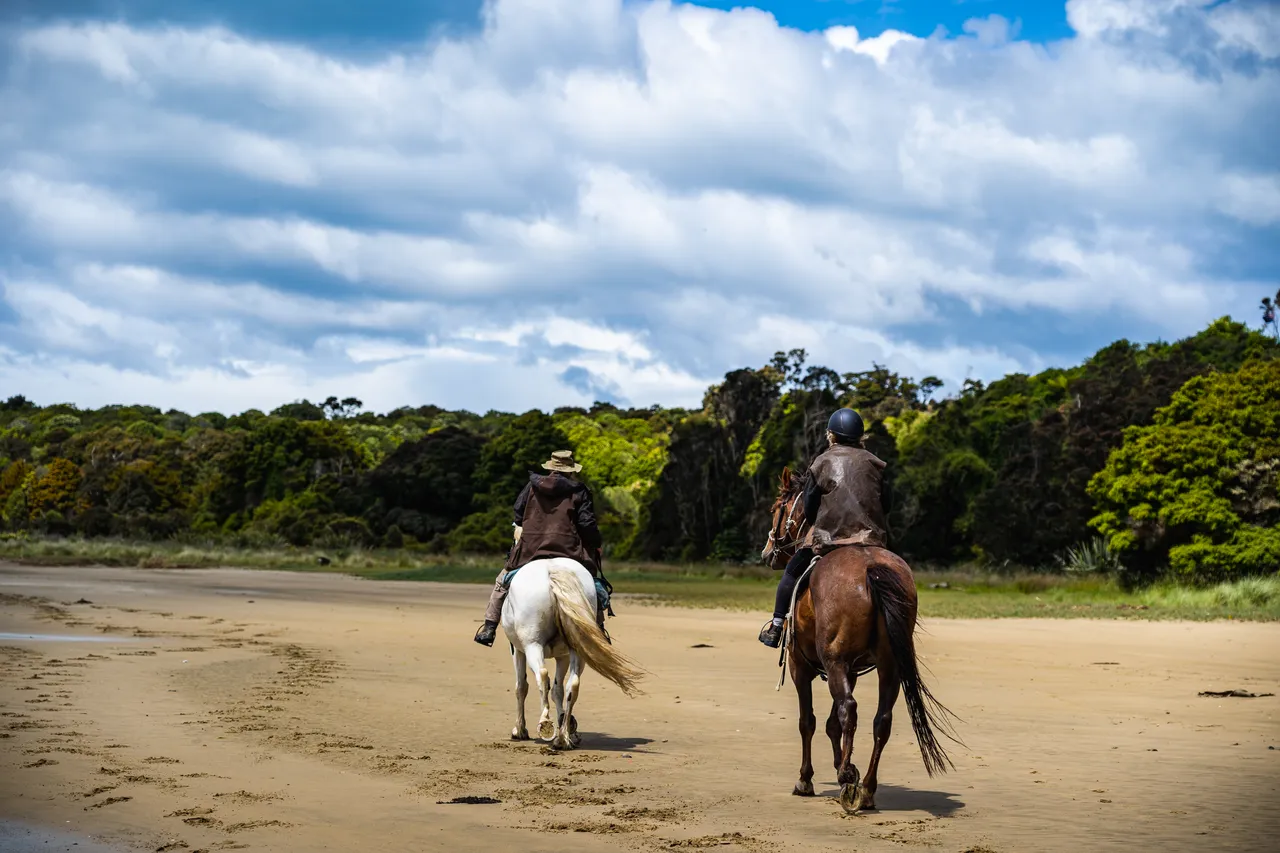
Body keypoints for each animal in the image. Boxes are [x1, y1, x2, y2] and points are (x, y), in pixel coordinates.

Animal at [501, 557, 644, 749]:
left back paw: (546, 724)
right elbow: (558, 690)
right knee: (573, 685)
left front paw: (519, 729)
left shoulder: (517, 651)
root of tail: (552, 569)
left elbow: (521, 687)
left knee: (542, 675)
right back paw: (562, 737)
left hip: (532, 644)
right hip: (577, 649)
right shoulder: (563, 656)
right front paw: (566, 726)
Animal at [760, 468, 958, 813]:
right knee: (881, 721)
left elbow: (809, 721)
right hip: (888, 665)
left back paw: (850, 780)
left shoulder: (803, 666)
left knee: (849, 710)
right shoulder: (850, 668)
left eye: (776, 509)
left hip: (834, 663)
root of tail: (870, 566)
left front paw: (807, 779)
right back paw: (865, 786)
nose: (767, 552)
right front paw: (842, 768)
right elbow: (831, 724)